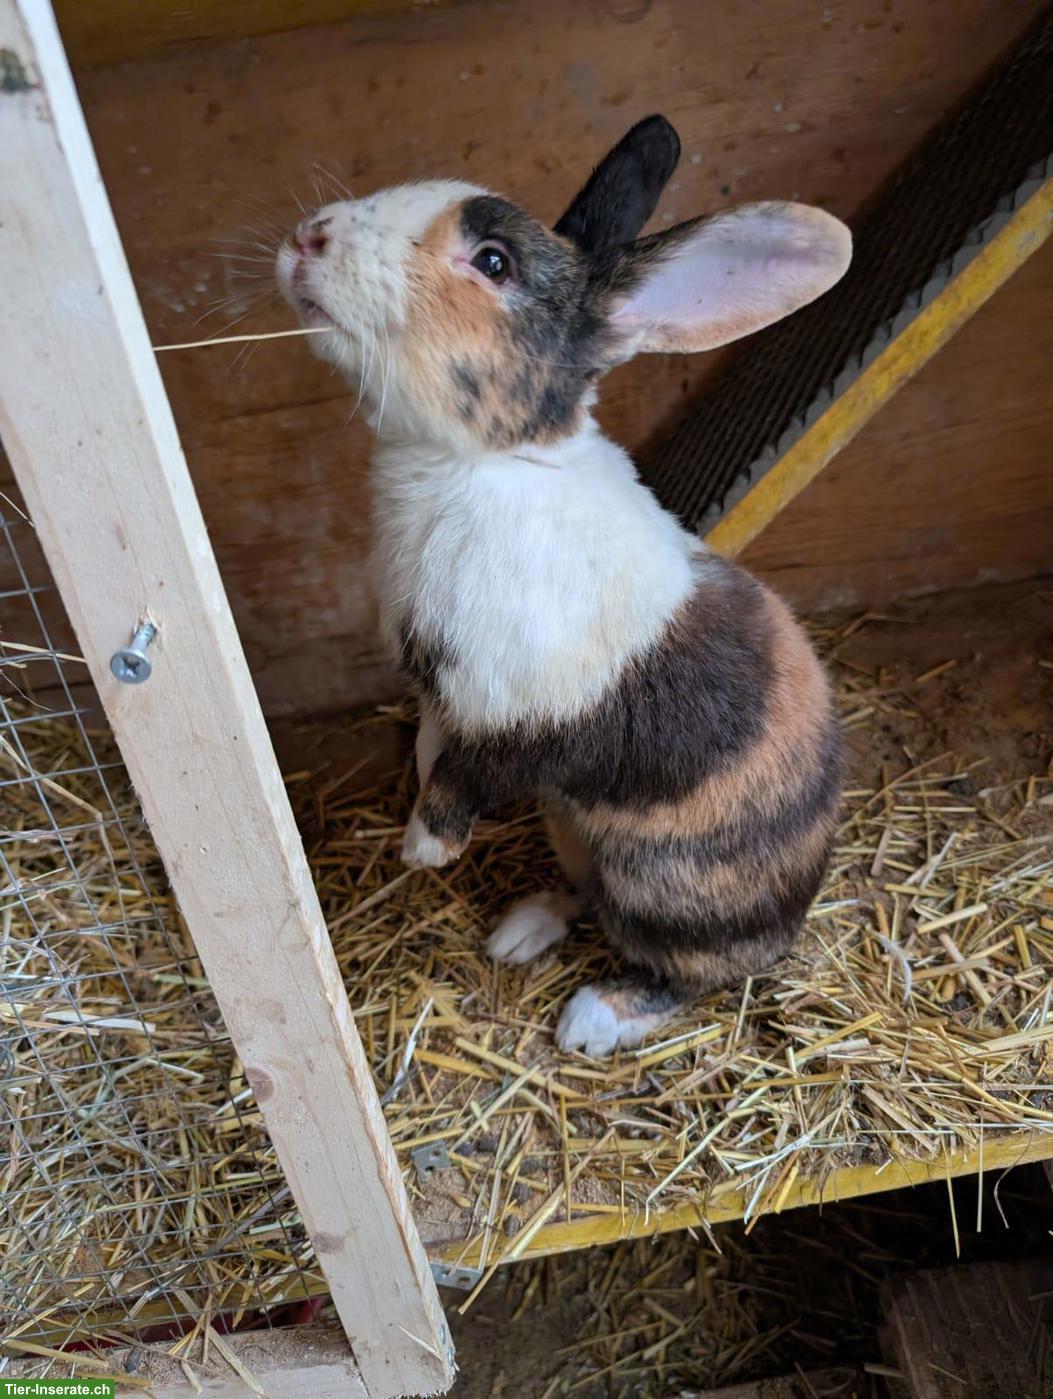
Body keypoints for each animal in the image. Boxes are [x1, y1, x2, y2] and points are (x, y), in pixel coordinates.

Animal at [276, 116, 849, 1057]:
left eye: (494, 262)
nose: (308, 237)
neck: (491, 464)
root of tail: (795, 906)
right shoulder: (442, 694)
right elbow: (431, 744)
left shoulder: (515, 716)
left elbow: (460, 780)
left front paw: (421, 852)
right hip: (570, 829)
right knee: (585, 897)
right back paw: (521, 929)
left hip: (661, 889)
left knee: (696, 971)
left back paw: (594, 1019)